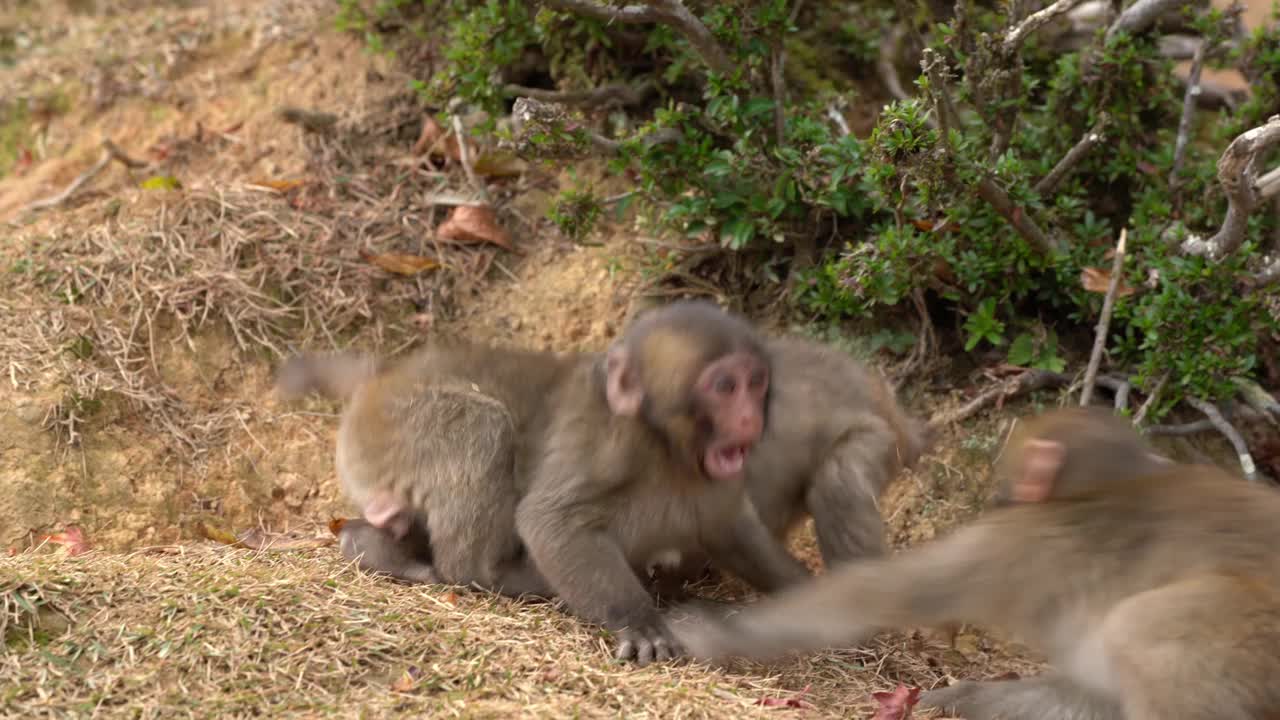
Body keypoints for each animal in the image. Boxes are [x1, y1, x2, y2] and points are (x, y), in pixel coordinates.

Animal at [277, 297, 808, 661]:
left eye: (756, 382)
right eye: (725, 386)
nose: (749, 418)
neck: (664, 447)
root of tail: (380, 380)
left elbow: (732, 530)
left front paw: (801, 583)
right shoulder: (601, 442)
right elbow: (550, 521)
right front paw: (639, 621)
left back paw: (371, 544)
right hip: (391, 430)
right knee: (483, 427)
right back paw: (484, 573)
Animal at [670, 404, 1280, 717]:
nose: (998, 497)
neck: (1121, 478)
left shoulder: (1020, 543)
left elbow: (872, 598)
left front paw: (711, 634)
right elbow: (1087, 697)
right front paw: (961, 699)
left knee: (1148, 627)